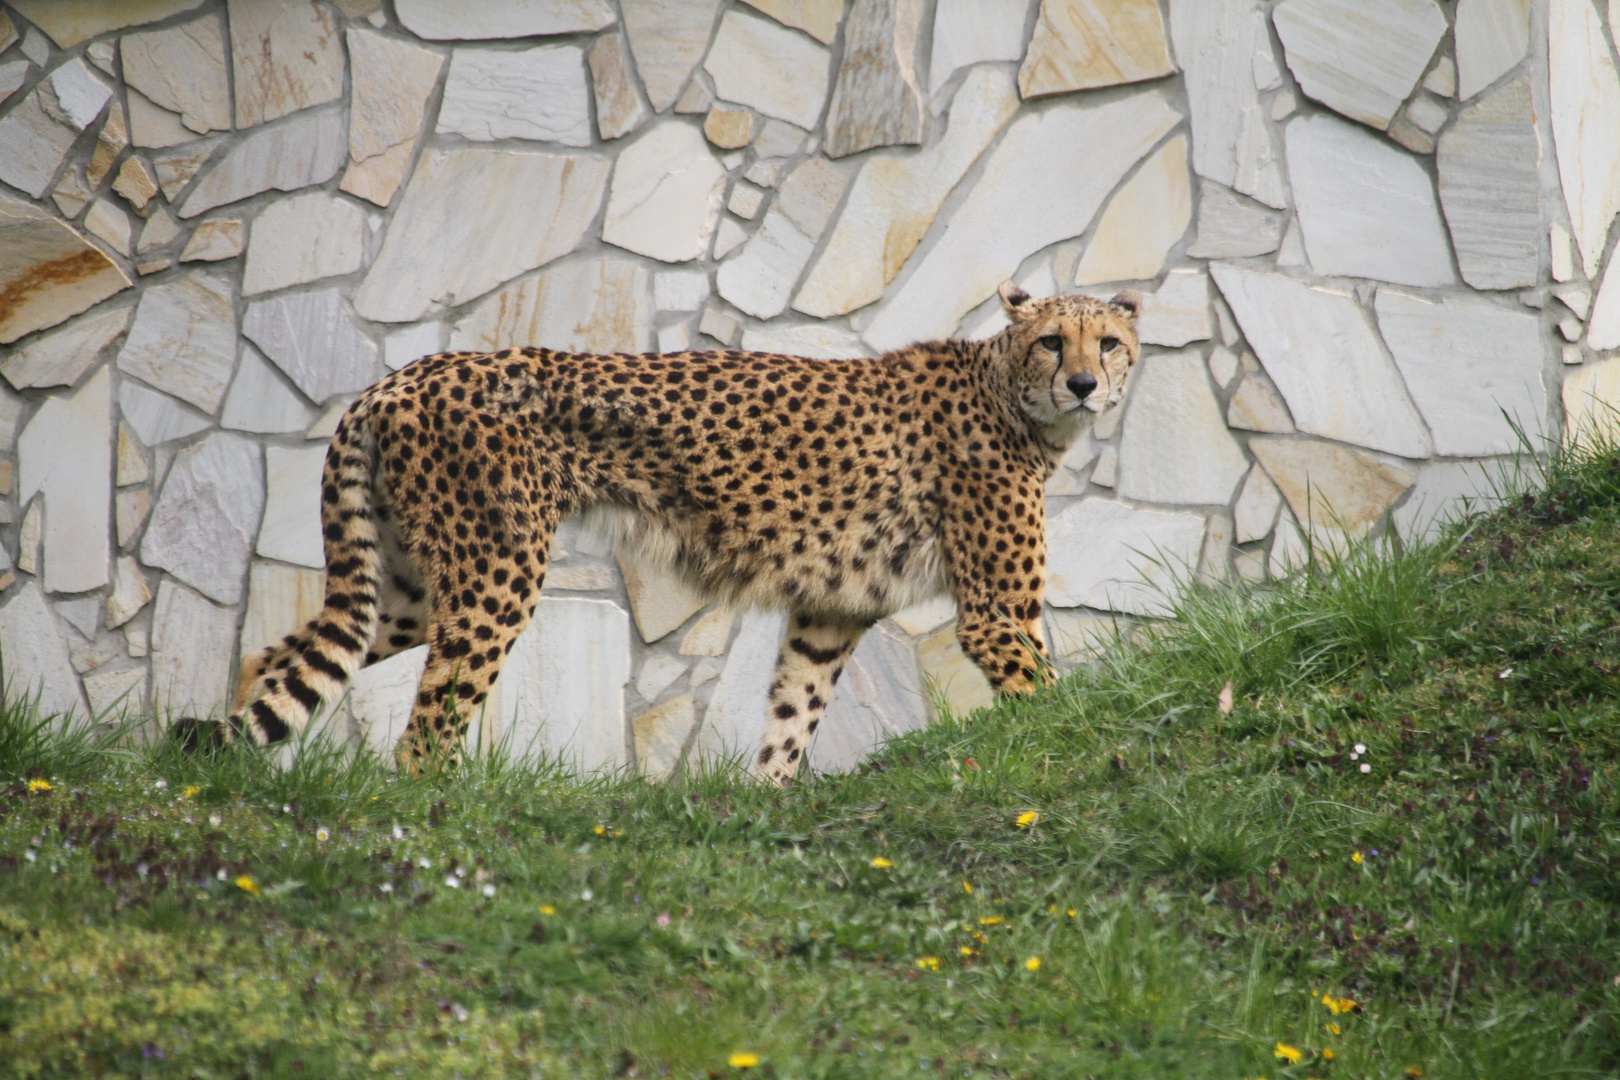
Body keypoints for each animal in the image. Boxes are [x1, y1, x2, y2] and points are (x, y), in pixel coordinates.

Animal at [174, 283, 1140, 780]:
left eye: (1109, 342)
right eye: (1053, 341)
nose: (1086, 384)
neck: (1009, 390)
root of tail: (405, 372)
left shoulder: (829, 615)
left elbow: (791, 716)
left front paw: (765, 808)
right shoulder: (996, 613)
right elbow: (1053, 699)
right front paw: (1092, 749)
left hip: (412, 583)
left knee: (281, 656)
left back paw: (229, 774)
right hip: (495, 570)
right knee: (426, 731)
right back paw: (440, 822)